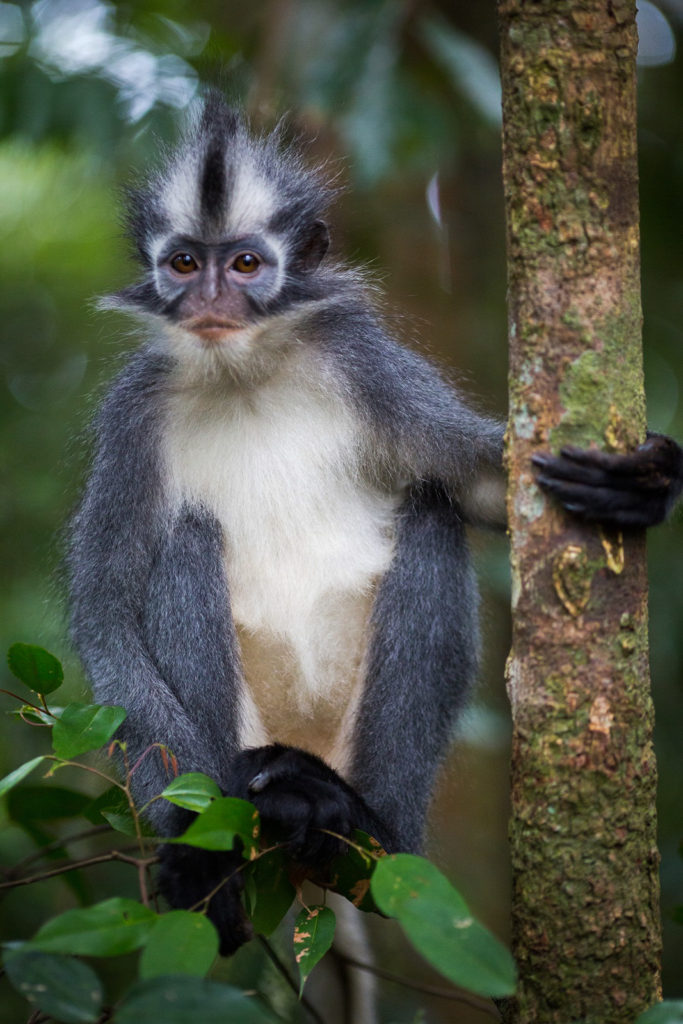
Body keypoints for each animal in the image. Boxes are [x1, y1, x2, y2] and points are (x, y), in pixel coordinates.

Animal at [67, 93, 683, 956]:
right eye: (184, 264)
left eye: (245, 266)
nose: (209, 301)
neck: (246, 374)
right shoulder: (133, 415)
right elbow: (106, 614)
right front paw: (193, 856)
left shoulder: (365, 367)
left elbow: (481, 488)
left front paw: (647, 484)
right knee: (187, 539)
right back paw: (260, 809)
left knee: (429, 513)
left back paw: (357, 823)